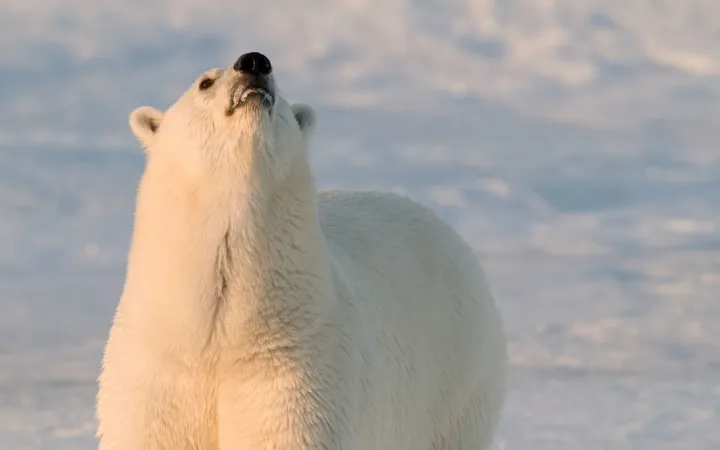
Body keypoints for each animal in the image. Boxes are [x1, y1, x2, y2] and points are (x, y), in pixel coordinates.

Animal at [96, 51, 507, 450]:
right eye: (205, 82)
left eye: (279, 86)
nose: (254, 62)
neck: (222, 334)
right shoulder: (156, 374)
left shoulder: (296, 371)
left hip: (455, 380)